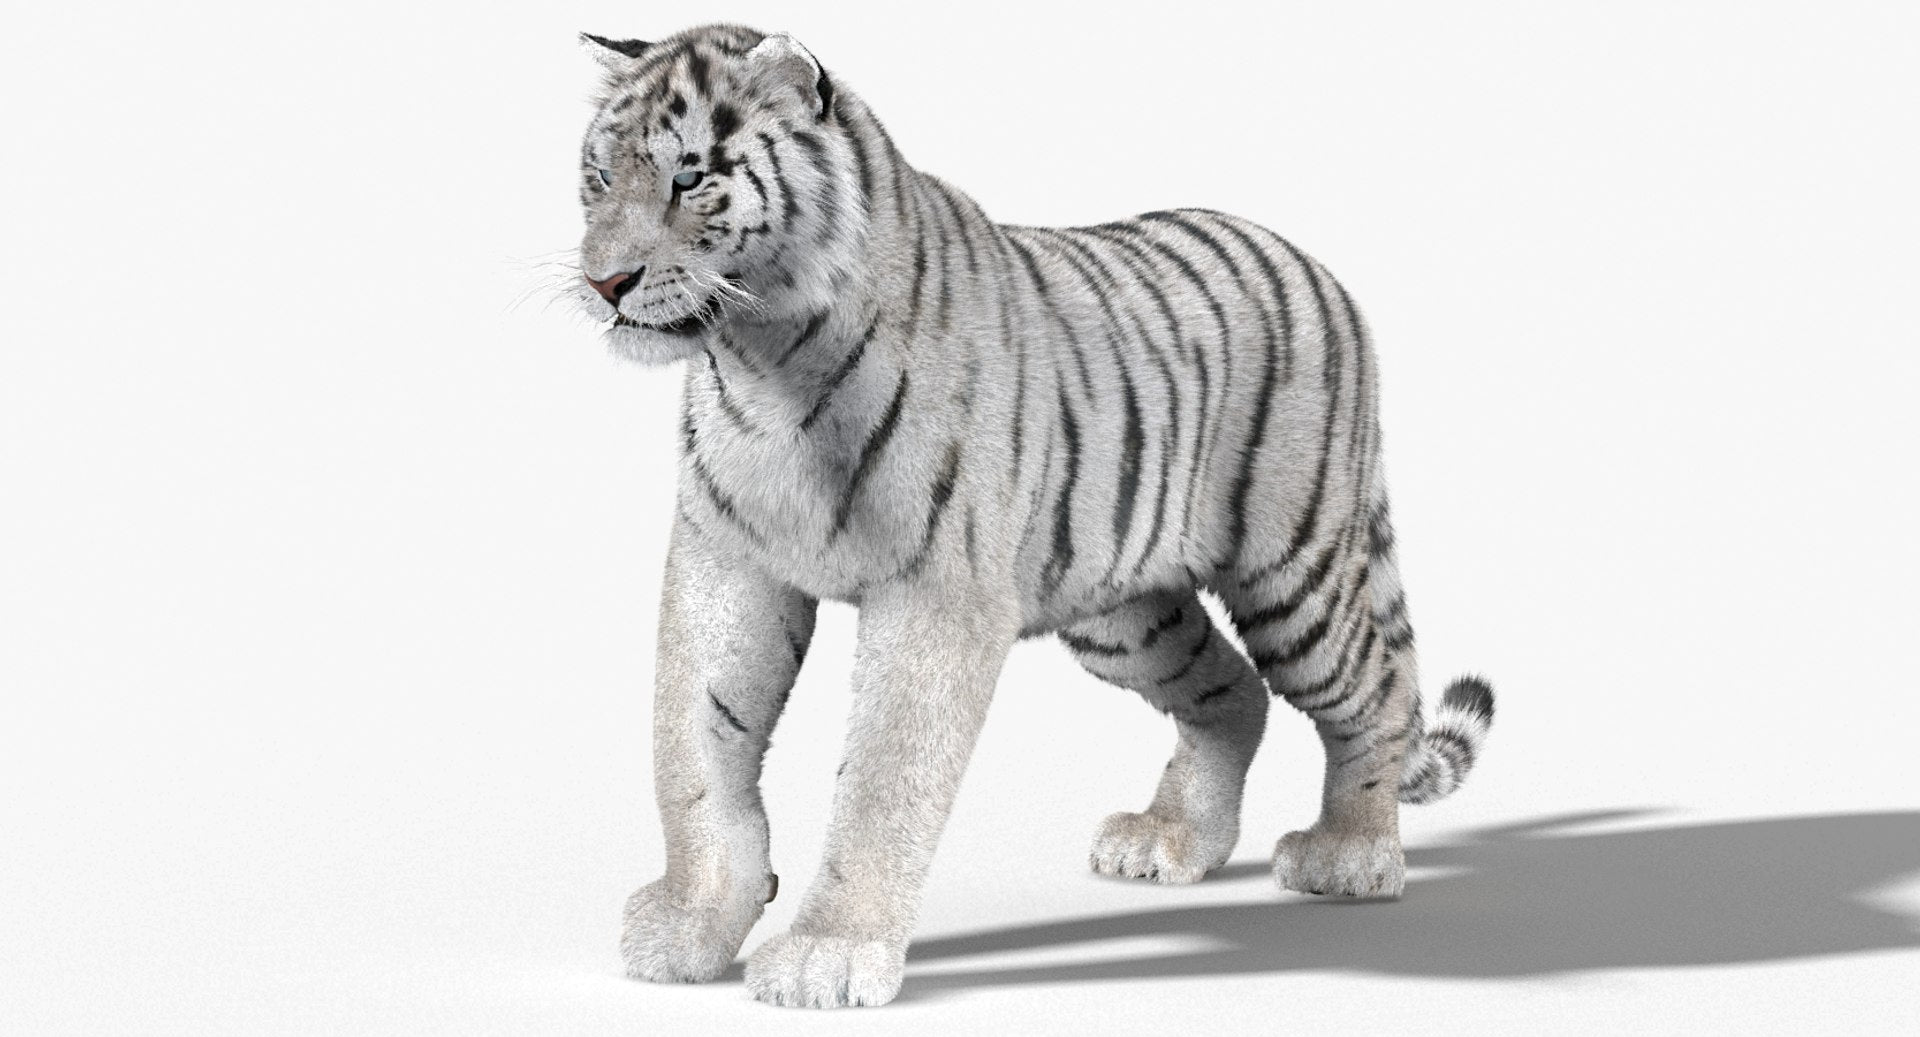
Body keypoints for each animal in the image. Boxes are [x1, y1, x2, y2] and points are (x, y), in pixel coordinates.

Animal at [570, 24, 1496, 1009]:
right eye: (600, 176)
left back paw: (1350, 855)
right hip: (1118, 610)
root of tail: (1313, 265)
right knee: (1233, 690)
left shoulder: (936, 597)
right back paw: (1170, 840)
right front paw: (692, 922)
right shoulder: (726, 562)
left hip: (1297, 571)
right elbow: (693, 750)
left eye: (689, 177)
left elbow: (881, 781)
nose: (605, 281)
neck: (758, 359)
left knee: (1375, 692)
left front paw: (828, 952)